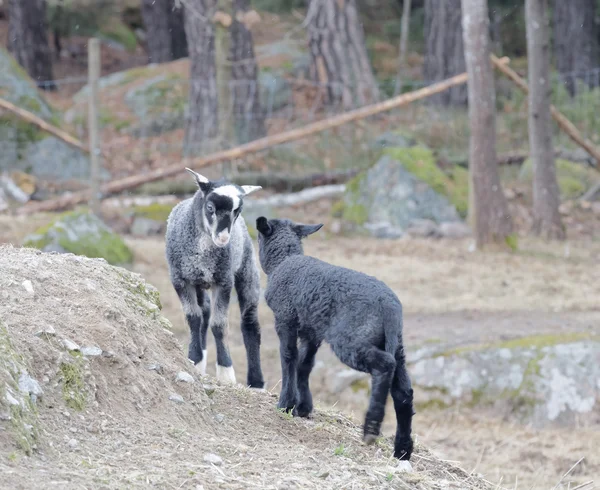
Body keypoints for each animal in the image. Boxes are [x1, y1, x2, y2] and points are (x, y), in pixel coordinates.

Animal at [165, 169, 266, 390]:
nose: (223, 239)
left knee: (250, 323)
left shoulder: (224, 281)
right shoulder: (180, 280)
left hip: (247, 268)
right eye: (210, 207)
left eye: (237, 211)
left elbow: (219, 325)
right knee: (204, 312)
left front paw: (226, 372)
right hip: (199, 282)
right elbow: (193, 318)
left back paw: (256, 382)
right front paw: (194, 359)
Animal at [255, 215, 414, 460]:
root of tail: (390, 308)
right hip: (396, 343)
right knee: (404, 391)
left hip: (351, 338)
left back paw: (371, 427)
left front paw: (285, 404)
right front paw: (303, 408)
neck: (283, 262)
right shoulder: (312, 330)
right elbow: (305, 364)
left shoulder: (285, 317)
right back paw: (402, 449)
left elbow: (288, 358)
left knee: (385, 365)